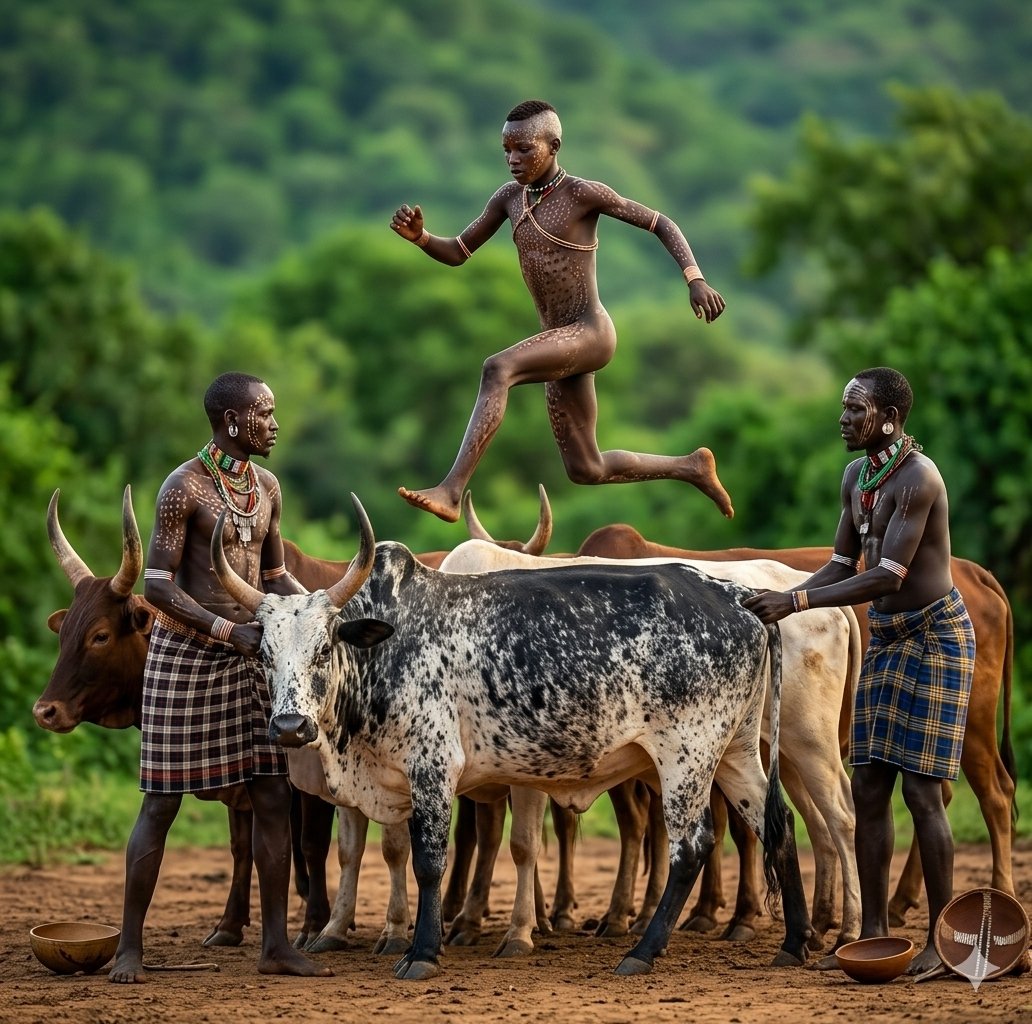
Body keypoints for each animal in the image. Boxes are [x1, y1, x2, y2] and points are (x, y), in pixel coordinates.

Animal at [211, 495, 814, 979]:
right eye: (264, 655)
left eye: (323, 648)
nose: (290, 727)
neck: (386, 645)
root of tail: (740, 597)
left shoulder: (433, 768)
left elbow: (430, 861)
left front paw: (422, 954)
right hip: (736, 752)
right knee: (778, 825)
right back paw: (795, 943)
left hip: (686, 757)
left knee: (693, 846)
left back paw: (642, 951)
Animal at [438, 538, 862, 951]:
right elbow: (484, 839)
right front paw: (477, 923)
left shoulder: (526, 775)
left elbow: (522, 845)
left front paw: (519, 932)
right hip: (773, 756)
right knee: (807, 824)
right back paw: (814, 927)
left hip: (808, 742)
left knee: (841, 817)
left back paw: (848, 930)